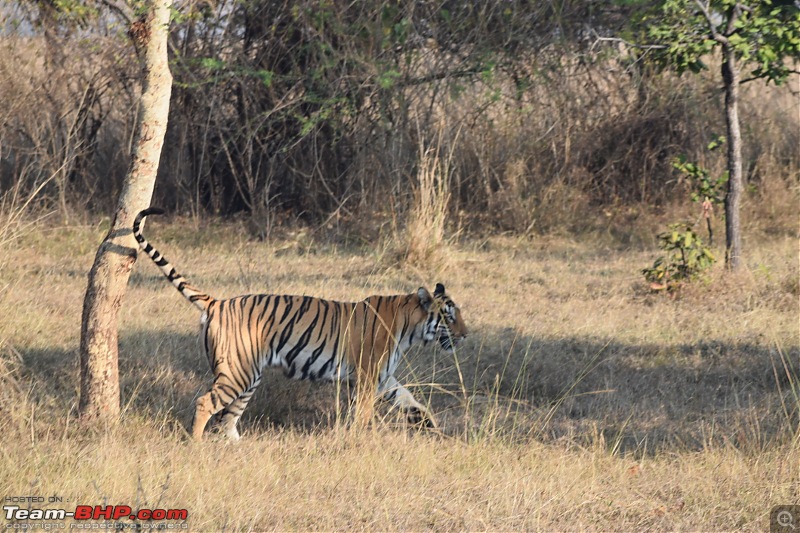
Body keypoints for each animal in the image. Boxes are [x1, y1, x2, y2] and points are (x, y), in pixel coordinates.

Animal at [132, 206, 468, 438]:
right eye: (449, 316)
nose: (466, 335)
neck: (410, 327)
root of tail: (217, 302)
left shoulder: (384, 378)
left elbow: (410, 399)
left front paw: (429, 423)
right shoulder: (367, 377)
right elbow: (363, 413)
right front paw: (361, 438)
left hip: (248, 375)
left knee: (228, 416)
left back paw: (234, 445)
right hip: (238, 373)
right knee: (205, 403)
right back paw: (198, 444)